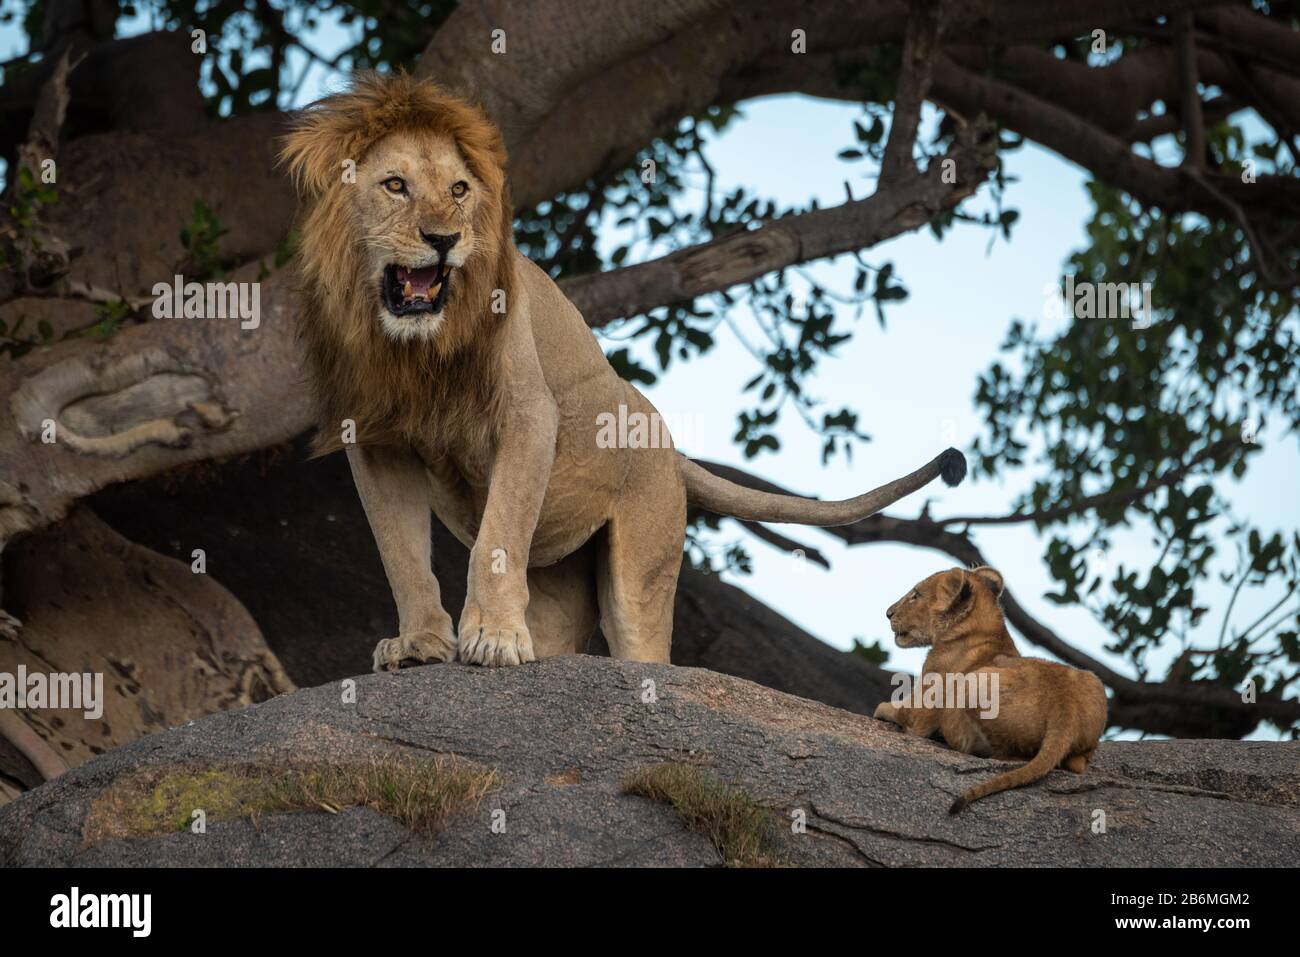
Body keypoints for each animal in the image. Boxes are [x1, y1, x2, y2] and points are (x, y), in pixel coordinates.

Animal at [280, 72, 967, 671]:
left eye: (458, 191)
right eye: (395, 186)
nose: (444, 238)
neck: (416, 348)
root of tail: (672, 448)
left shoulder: (527, 413)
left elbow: (496, 536)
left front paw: (494, 639)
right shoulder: (377, 441)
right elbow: (401, 553)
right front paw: (420, 644)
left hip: (641, 571)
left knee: (644, 643)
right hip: (559, 576)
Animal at [874, 566, 1108, 813]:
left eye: (916, 595)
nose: (888, 613)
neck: (981, 627)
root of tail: (1065, 709)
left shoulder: (921, 713)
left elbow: (901, 712)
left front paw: (883, 708)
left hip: (973, 683)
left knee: (1009, 755)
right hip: (1092, 679)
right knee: (1076, 764)